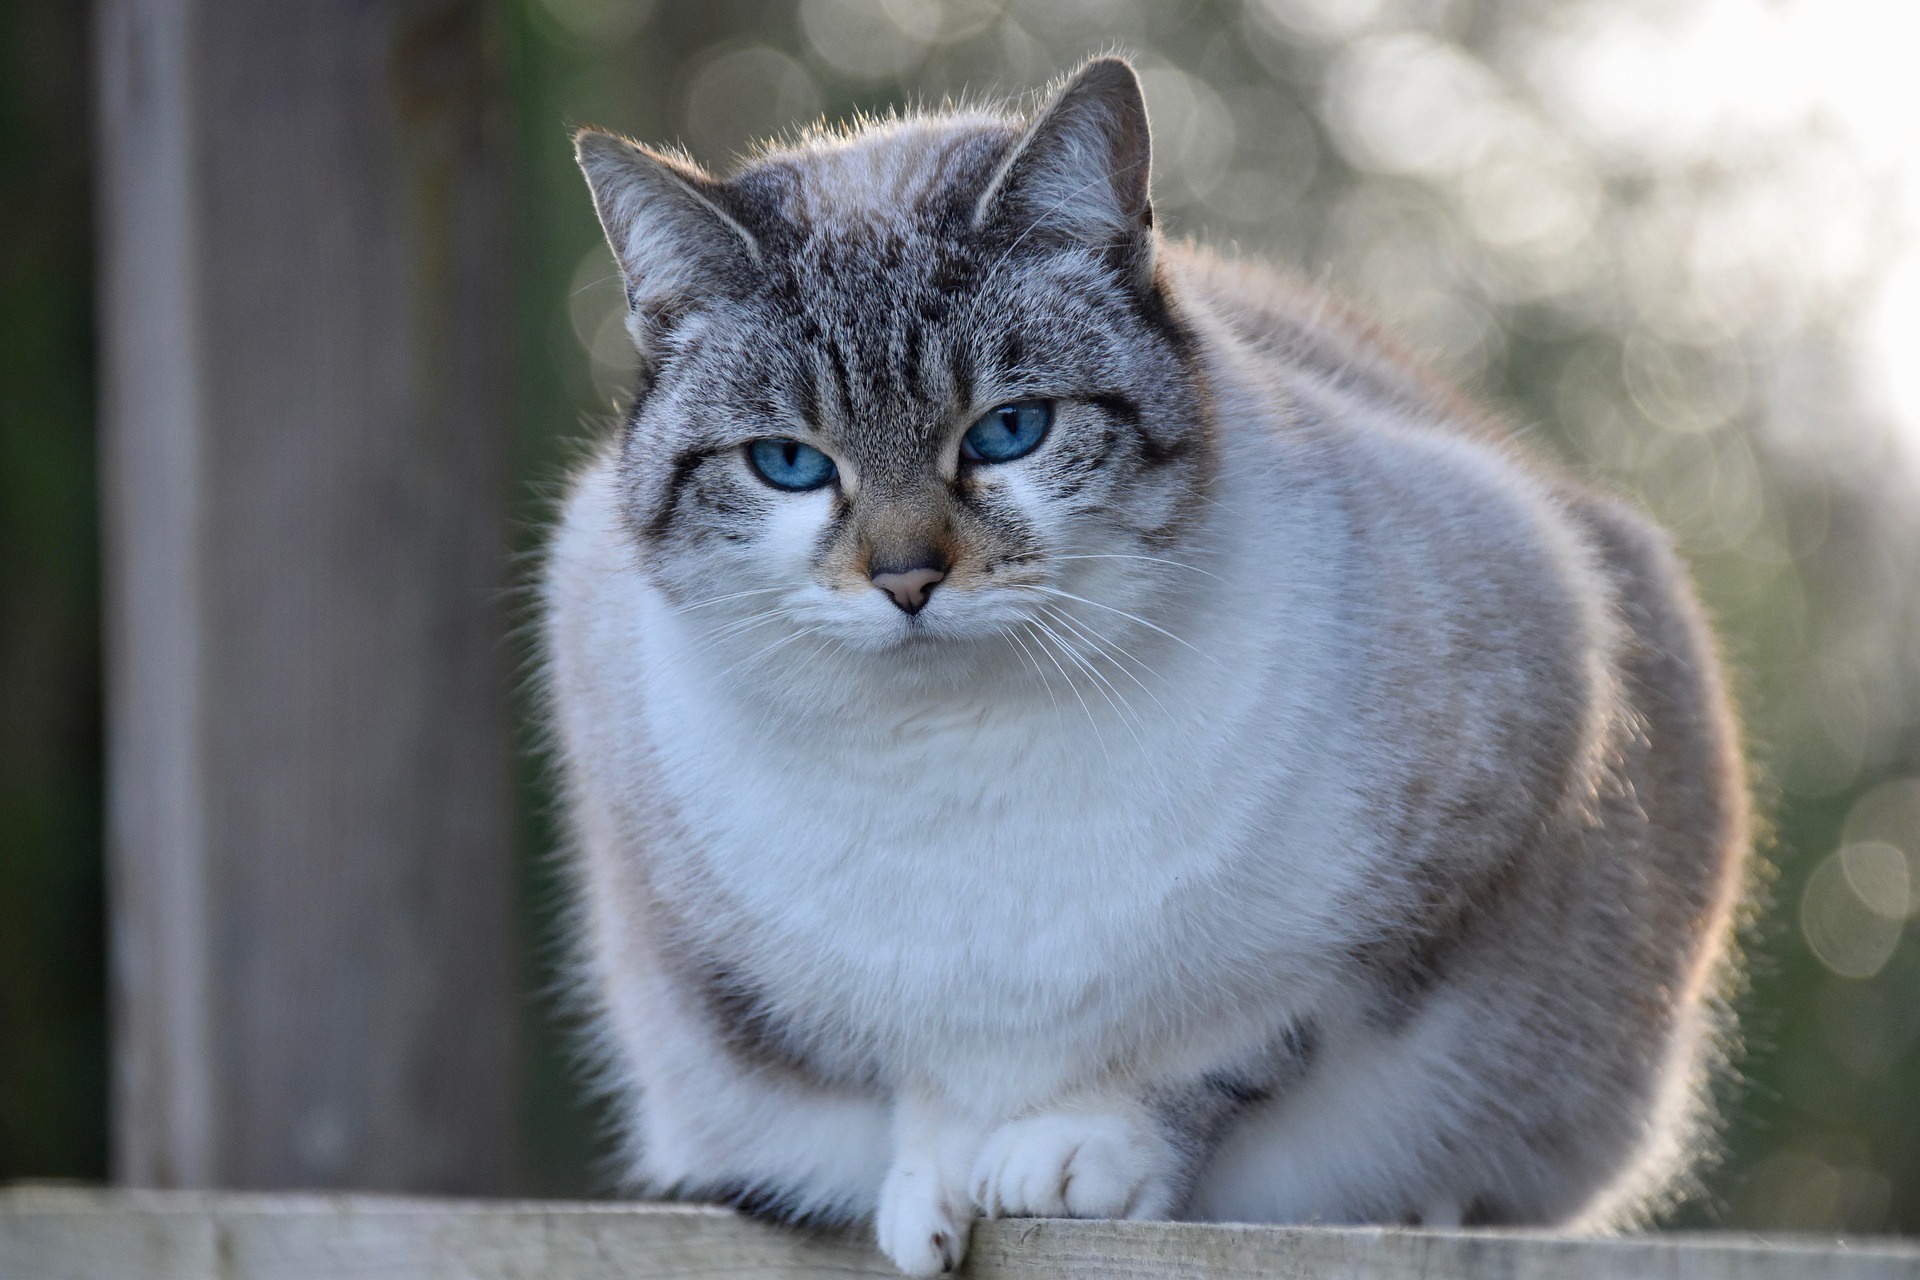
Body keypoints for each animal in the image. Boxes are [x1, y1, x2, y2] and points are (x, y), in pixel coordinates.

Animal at [541, 57, 1758, 1274]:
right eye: (788, 463)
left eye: (1008, 431)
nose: (905, 579)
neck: (960, 761)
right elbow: (919, 1087)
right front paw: (933, 1191)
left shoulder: (1412, 873)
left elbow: (1218, 1058)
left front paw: (1080, 1154)